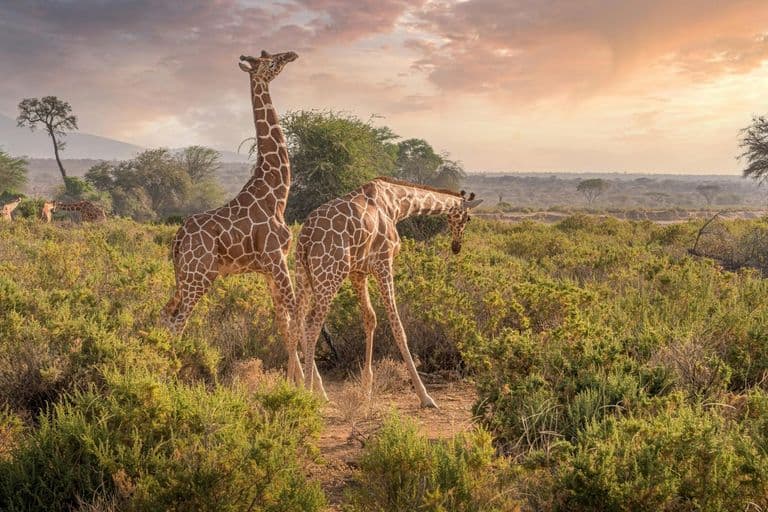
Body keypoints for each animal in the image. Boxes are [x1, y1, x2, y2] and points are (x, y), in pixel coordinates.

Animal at [161, 50, 323, 389]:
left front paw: (295, 382)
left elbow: (283, 321)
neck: (277, 193)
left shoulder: (268, 268)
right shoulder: (276, 259)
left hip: (183, 276)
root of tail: (178, 238)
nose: (292, 54)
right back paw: (168, 377)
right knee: (179, 320)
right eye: (271, 60)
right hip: (199, 277)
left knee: (166, 314)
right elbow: (297, 315)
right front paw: (315, 388)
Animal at [293, 177, 482, 408]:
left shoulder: (358, 271)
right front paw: (425, 396)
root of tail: (305, 237)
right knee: (312, 324)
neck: (396, 204)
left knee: (296, 321)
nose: (456, 247)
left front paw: (366, 389)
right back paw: (309, 393)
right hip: (330, 274)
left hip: (303, 274)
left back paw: (297, 386)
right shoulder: (384, 262)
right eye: (468, 218)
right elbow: (397, 326)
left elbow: (370, 318)